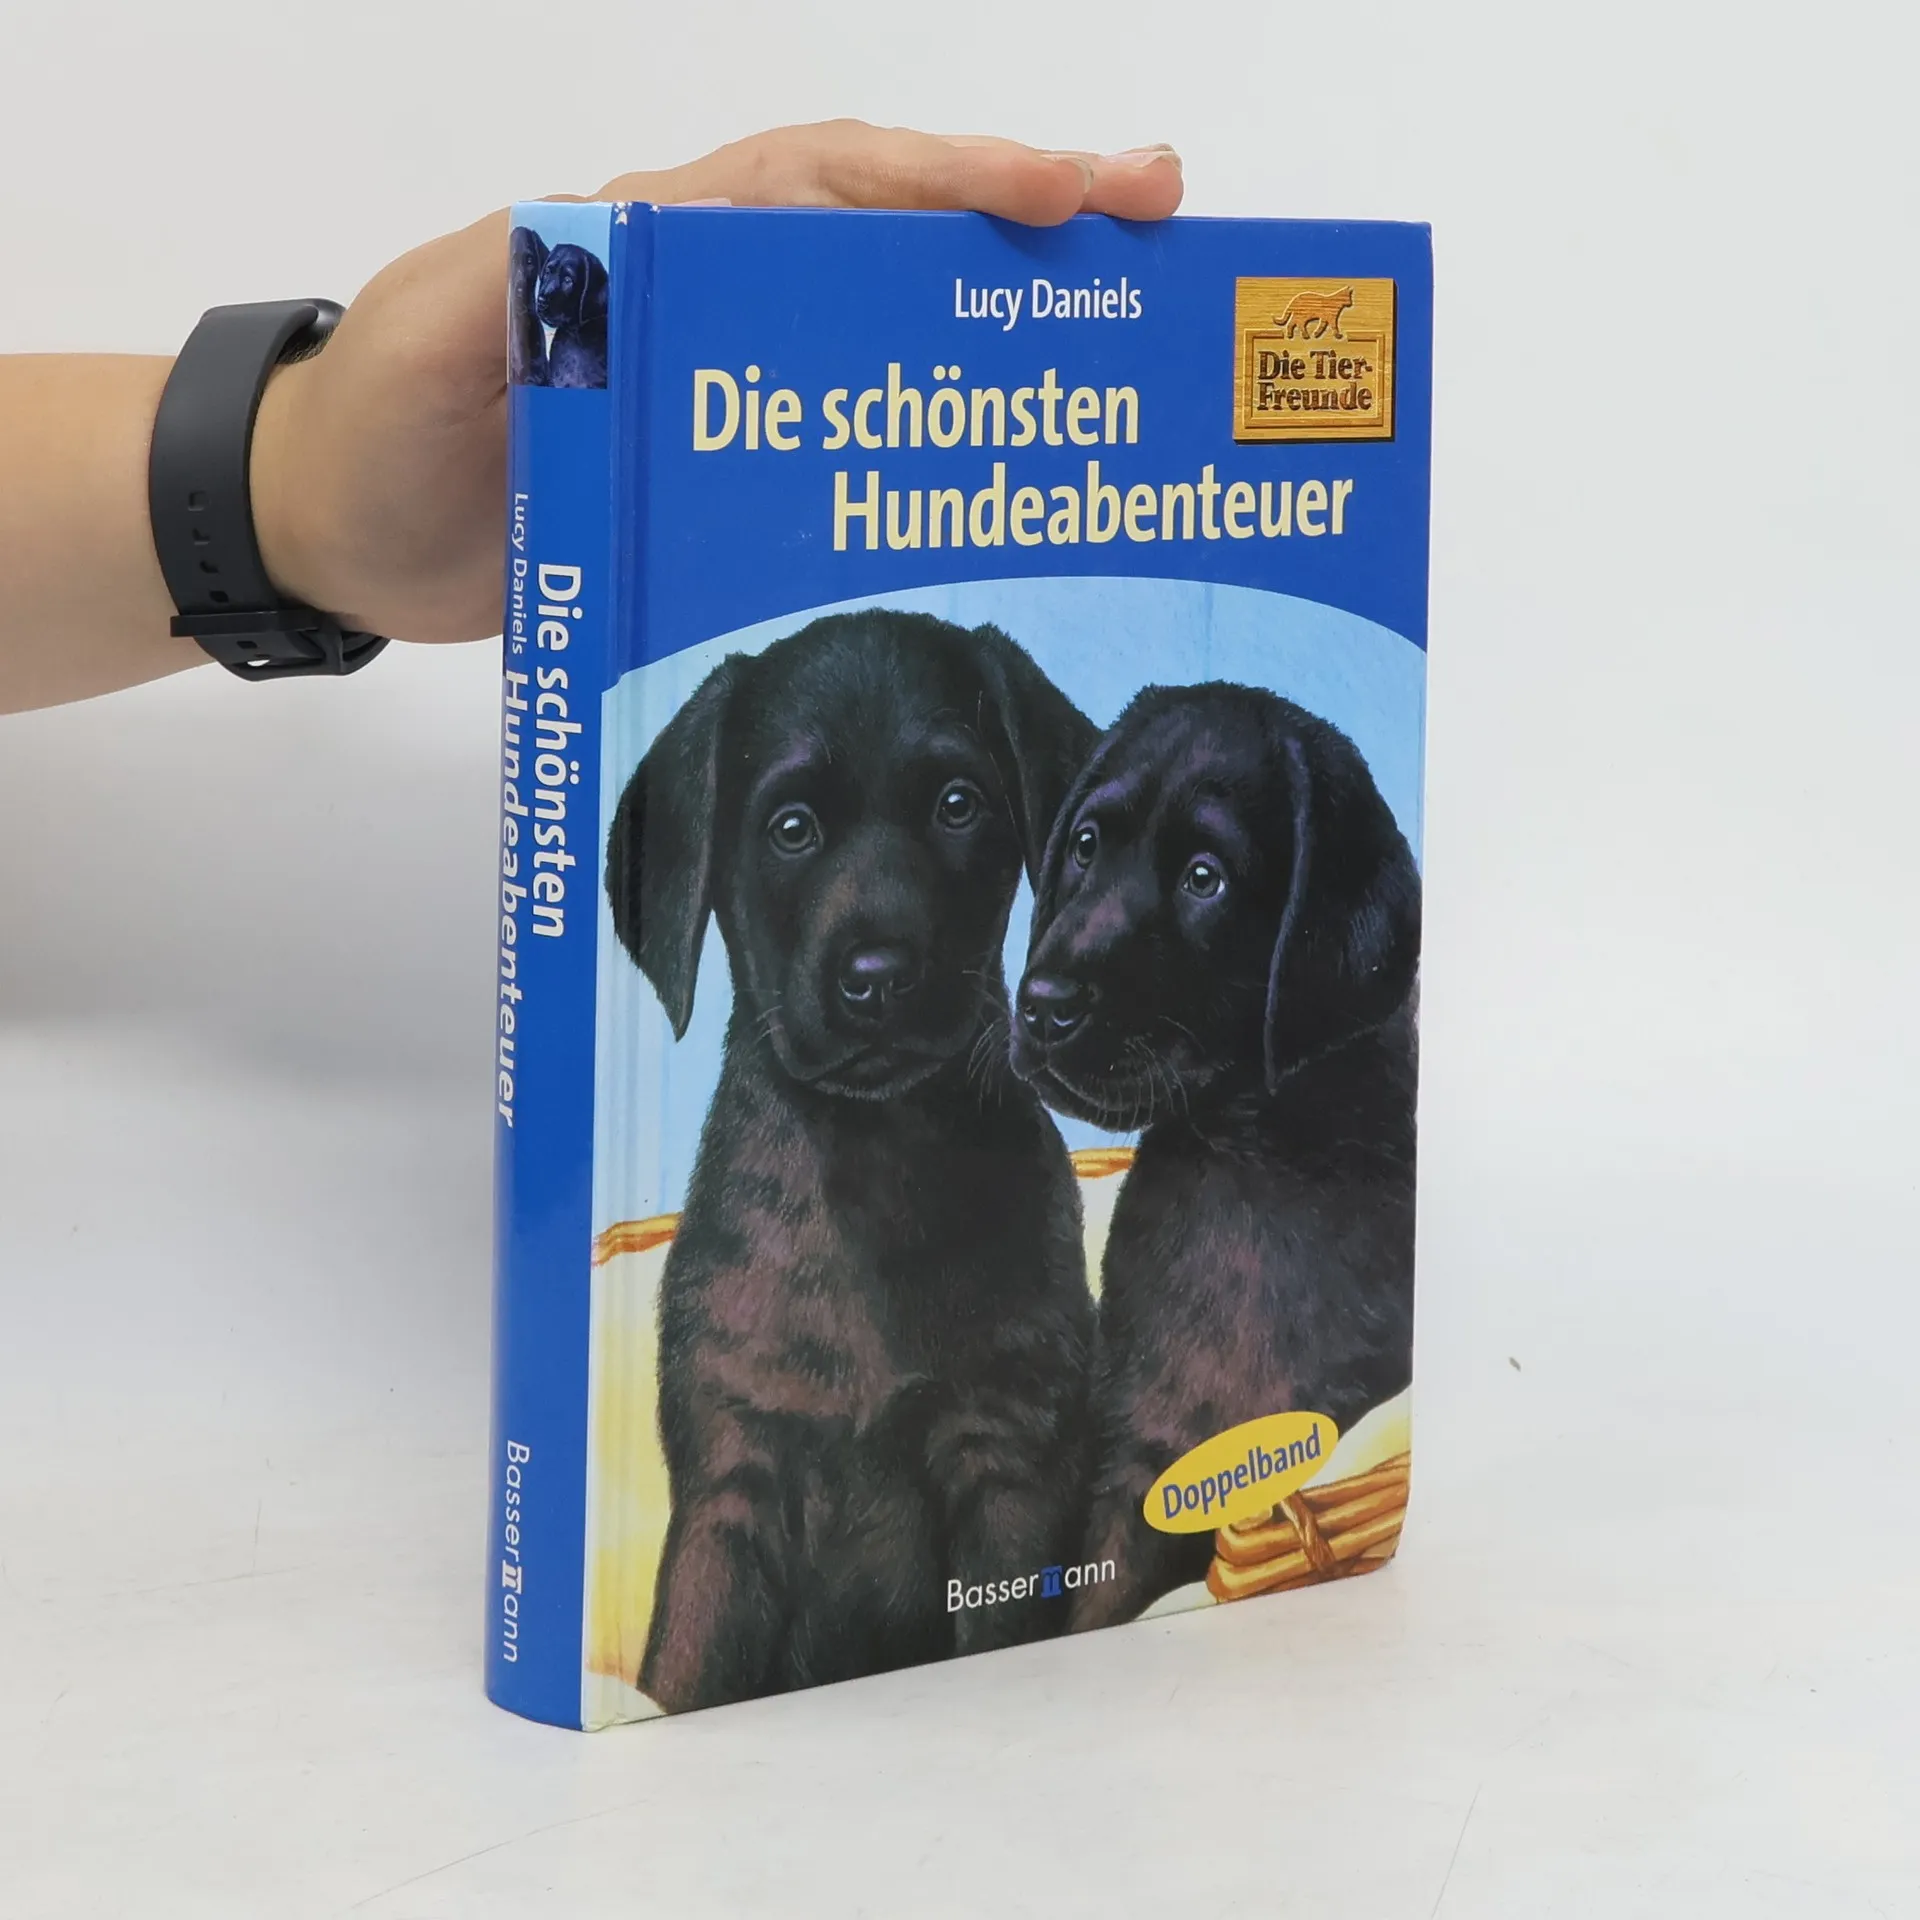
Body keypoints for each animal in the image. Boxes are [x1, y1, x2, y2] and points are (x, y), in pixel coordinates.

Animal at [606, 610, 1099, 1711]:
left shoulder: (1007, 1466)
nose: (878, 978)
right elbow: (684, 1670)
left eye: (959, 806)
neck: (873, 1161)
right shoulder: (729, 1486)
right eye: (791, 828)